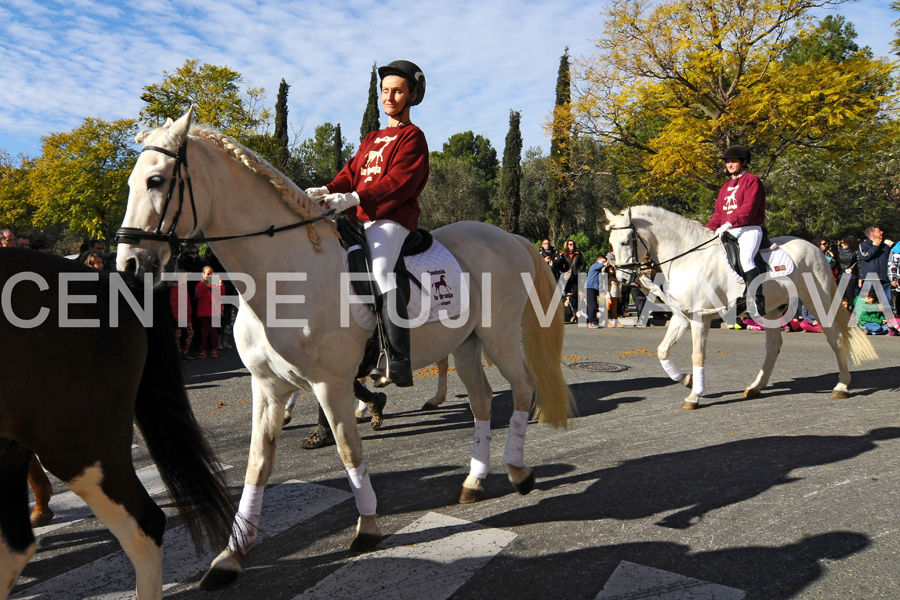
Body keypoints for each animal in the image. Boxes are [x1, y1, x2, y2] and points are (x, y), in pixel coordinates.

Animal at [116, 111, 572, 592]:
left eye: (156, 180)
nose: (128, 266)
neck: (283, 273)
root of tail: (508, 236)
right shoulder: (268, 388)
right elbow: (257, 464)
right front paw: (231, 555)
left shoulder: (329, 384)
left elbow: (349, 450)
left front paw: (367, 527)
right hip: (466, 344)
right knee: (483, 400)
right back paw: (474, 481)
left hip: (498, 337)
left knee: (523, 387)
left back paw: (518, 471)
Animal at [600, 205, 876, 408]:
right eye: (612, 242)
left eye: (626, 241)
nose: (623, 280)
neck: (687, 258)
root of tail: (813, 248)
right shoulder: (681, 317)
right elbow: (662, 351)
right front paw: (688, 380)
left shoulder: (700, 319)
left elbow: (697, 355)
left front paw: (694, 395)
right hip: (772, 309)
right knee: (773, 346)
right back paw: (756, 387)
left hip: (818, 300)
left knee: (835, 337)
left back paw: (842, 386)